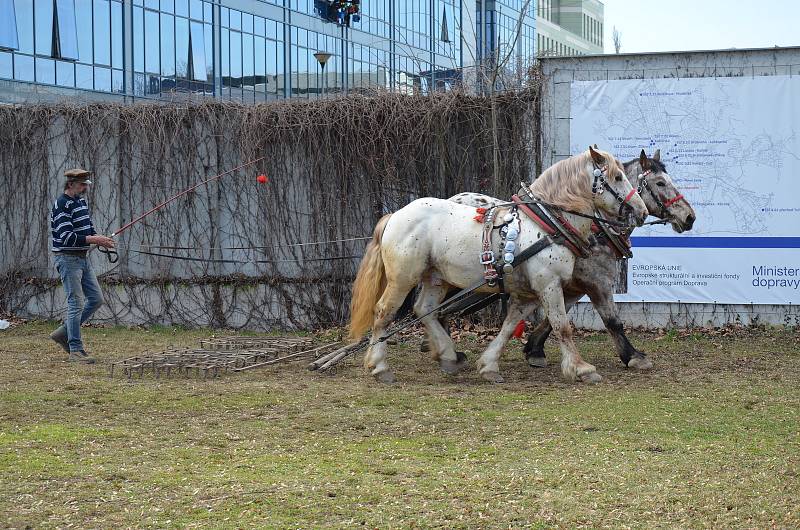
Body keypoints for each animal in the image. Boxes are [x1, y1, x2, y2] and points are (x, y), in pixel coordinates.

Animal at [346, 146, 648, 382]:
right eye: (617, 177)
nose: (641, 211)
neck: (547, 223)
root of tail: (396, 215)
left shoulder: (529, 292)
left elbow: (509, 325)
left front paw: (489, 365)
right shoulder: (550, 285)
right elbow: (562, 325)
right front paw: (582, 369)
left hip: (436, 278)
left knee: (425, 310)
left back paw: (448, 356)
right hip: (403, 278)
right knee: (384, 312)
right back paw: (379, 366)